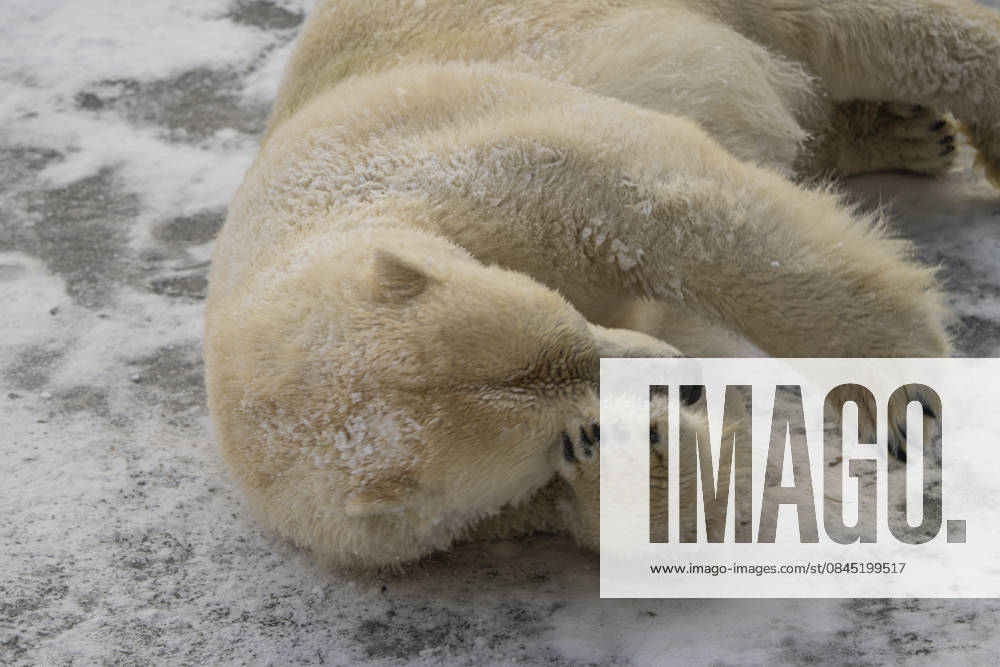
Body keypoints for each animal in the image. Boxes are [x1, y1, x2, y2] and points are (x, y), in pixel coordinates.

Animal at [205, 0, 1000, 568]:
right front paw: (641, 451)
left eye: (568, 326)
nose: (683, 382)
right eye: (556, 430)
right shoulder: (467, 521)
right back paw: (905, 132)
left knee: (863, 31)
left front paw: (900, 400)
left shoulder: (451, 153)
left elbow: (658, 199)